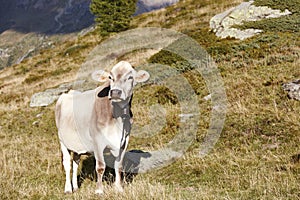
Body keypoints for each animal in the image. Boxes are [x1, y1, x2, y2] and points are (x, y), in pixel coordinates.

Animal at [54, 60, 149, 194]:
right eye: (110, 77)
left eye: (130, 77)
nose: (115, 92)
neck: (118, 118)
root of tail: (68, 93)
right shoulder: (97, 141)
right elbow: (100, 167)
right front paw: (99, 190)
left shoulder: (124, 141)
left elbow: (119, 165)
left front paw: (119, 188)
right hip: (62, 140)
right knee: (67, 163)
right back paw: (68, 189)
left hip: (77, 143)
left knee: (76, 161)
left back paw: (76, 187)